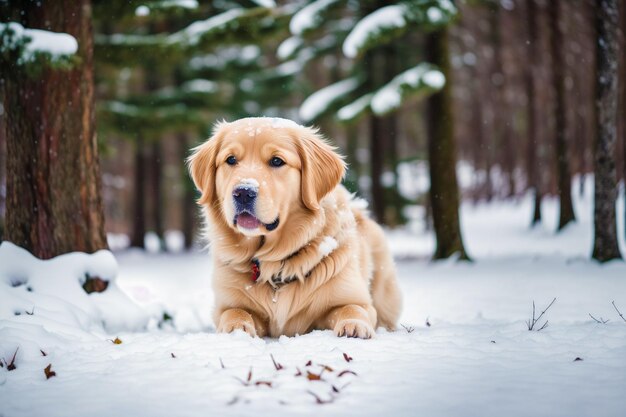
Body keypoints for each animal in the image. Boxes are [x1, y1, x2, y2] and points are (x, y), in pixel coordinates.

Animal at [186, 117, 400, 338]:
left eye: (277, 161)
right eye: (230, 159)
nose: (244, 192)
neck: (275, 263)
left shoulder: (355, 298)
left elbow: (352, 307)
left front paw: (354, 325)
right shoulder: (226, 304)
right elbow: (235, 312)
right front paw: (236, 328)